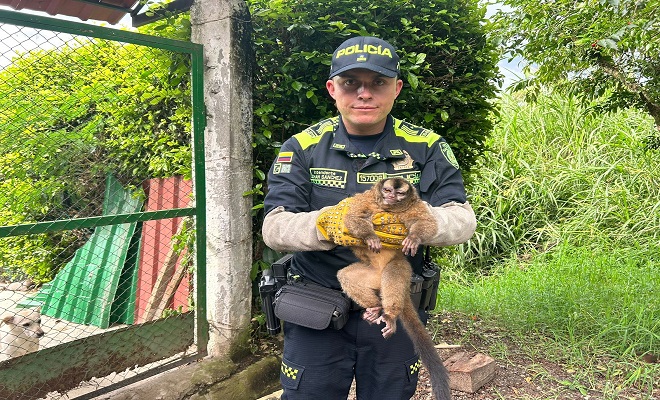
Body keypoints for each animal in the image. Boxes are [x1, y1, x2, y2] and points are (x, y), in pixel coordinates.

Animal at [336, 177, 451, 400]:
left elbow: (427, 223)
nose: (391, 197)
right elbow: (352, 217)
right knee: (345, 276)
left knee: (393, 275)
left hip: (400, 266)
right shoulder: (367, 199)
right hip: (371, 274)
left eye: (399, 194)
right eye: (388, 190)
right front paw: (370, 236)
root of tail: (379, 274)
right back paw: (374, 308)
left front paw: (414, 239)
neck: (387, 208)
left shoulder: (415, 206)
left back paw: (389, 314)